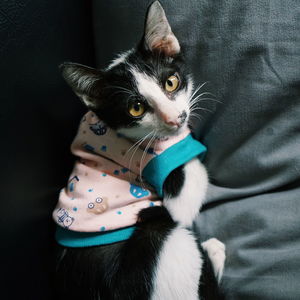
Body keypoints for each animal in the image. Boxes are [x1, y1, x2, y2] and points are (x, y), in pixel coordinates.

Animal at [55, 2, 225, 300]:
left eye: (170, 82)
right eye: (136, 108)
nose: (175, 119)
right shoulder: (164, 180)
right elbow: (192, 180)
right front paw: (191, 144)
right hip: (160, 239)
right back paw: (213, 252)